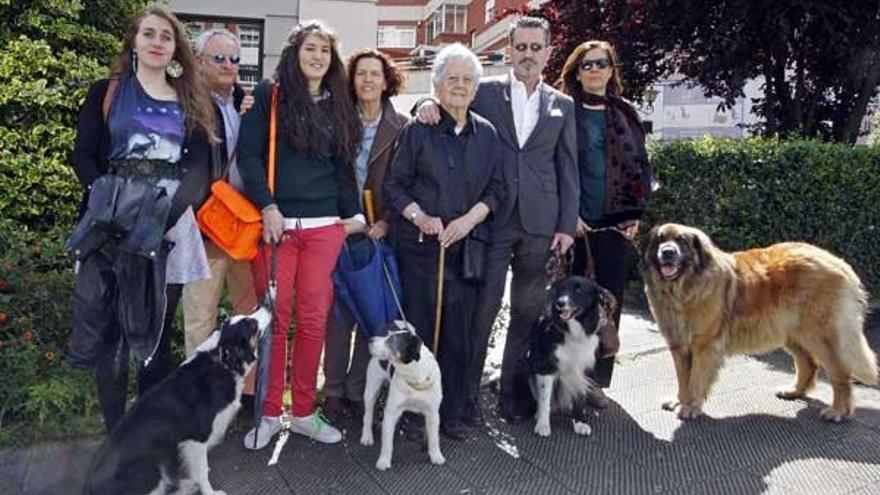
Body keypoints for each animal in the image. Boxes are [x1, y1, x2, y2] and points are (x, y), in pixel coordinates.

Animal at [86, 306, 274, 495]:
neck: (222, 362)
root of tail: (88, 486)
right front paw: (210, 492)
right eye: (252, 324)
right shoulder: (197, 437)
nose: (265, 305)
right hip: (152, 470)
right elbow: (202, 471)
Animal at [360, 322, 444, 472]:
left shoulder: (433, 413)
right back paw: (367, 436)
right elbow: (387, 442)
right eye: (387, 336)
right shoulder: (391, 411)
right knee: (368, 415)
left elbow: (434, 438)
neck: (415, 376)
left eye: (391, 340)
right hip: (371, 389)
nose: (370, 340)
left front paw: (436, 456)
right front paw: (383, 461)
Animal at [524, 278, 608, 440]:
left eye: (579, 290)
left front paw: (580, 422)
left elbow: (580, 397)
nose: (560, 303)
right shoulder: (546, 367)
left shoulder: (584, 370)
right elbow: (544, 399)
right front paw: (543, 424)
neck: (574, 330)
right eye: (562, 289)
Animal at [644, 225, 876, 422]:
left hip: (820, 335)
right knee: (808, 363)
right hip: (793, 331)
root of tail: (839, 262)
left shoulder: (704, 344)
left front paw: (690, 406)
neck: (682, 290)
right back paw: (793, 391)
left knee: (840, 373)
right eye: (660, 240)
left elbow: (696, 379)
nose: (667, 252)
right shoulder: (678, 345)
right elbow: (683, 378)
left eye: (681, 241)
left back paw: (838, 411)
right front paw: (679, 400)